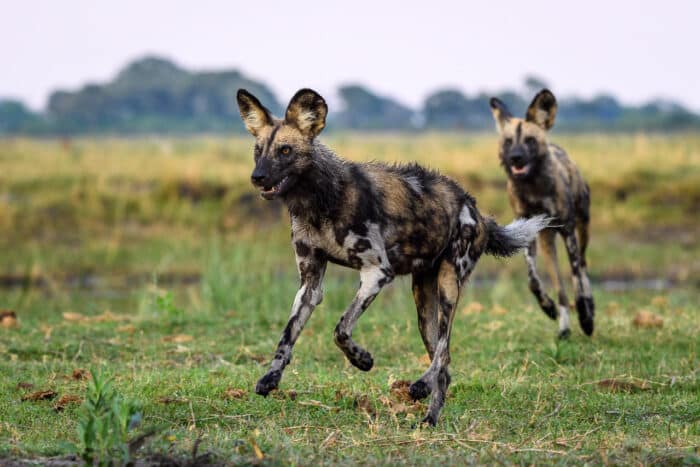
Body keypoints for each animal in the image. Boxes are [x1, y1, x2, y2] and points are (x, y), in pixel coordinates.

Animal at [238, 88, 548, 428]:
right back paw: (428, 411)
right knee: (445, 362)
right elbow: (287, 335)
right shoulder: (310, 284)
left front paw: (362, 360)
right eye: (258, 151)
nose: (257, 176)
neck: (320, 199)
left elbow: (340, 329)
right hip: (423, 299)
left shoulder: (377, 272)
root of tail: (476, 209)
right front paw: (270, 378)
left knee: (442, 352)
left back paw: (423, 393)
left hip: (449, 285)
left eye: (285, 150)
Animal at [490, 90, 592, 340]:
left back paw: (588, 310)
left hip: (582, 227)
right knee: (560, 288)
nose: (516, 157)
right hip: (547, 244)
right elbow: (533, 282)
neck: (533, 188)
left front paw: (585, 315)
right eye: (508, 141)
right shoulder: (527, 233)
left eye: (529, 140)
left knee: (583, 265)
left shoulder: (568, 232)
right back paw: (564, 327)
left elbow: (576, 277)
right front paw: (547, 307)